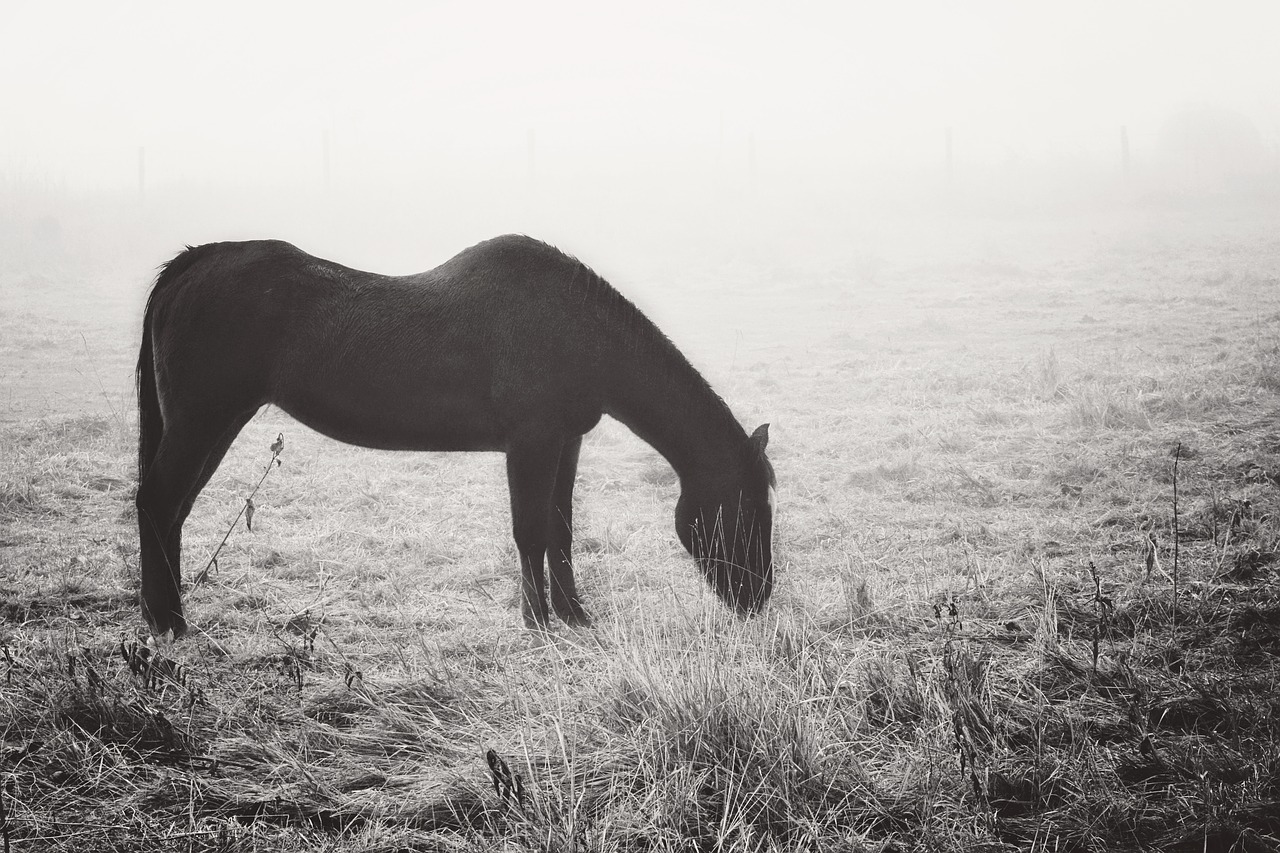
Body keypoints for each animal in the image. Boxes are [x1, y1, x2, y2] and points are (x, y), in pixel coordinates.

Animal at [135, 235, 773, 635]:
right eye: (747, 507)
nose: (759, 598)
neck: (573, 330)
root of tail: (191, 265)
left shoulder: (565, 444)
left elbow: (561, 531)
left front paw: (573, 615)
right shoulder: (531, 444)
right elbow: (531, 532)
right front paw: (537, 622)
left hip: (213, 425)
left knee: (174, 511)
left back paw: (164, 612)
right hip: (202, 422)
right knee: (158, 503)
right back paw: (169, 622)